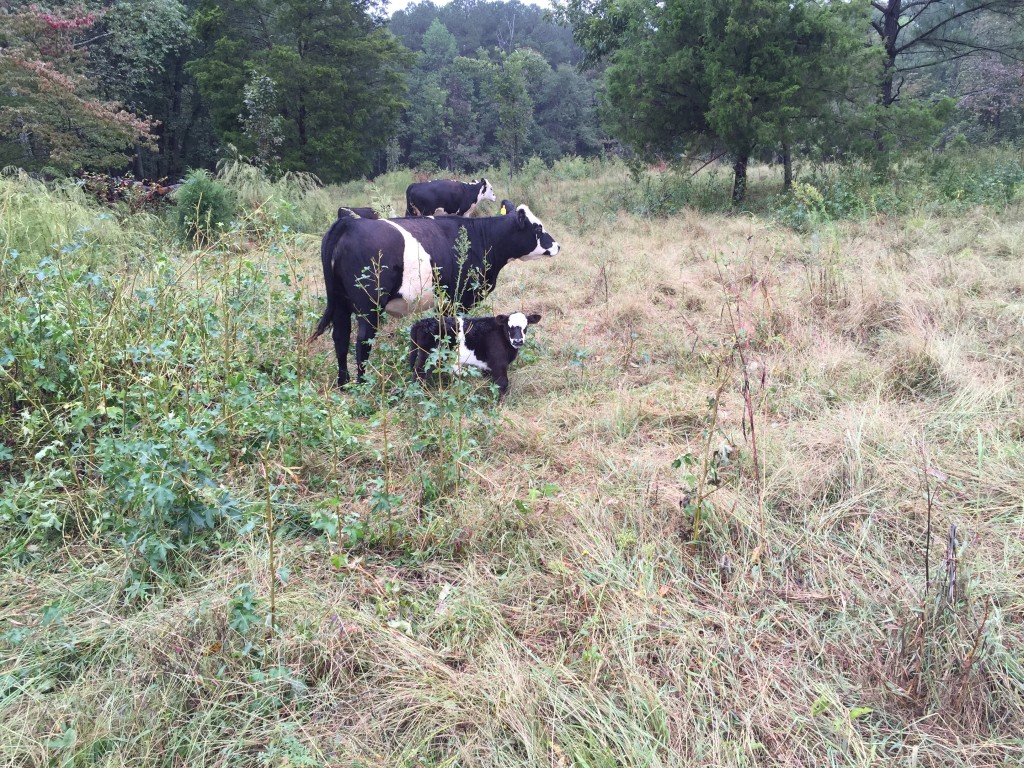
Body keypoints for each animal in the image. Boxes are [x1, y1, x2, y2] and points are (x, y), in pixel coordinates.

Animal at [311, 202, 561, 387]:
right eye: (538, 228)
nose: (557, 246)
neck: (480, 237)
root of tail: (348, 224)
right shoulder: (459, 298)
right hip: (369, 305)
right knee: (362, 341)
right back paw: (362, 383)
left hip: (340, 302)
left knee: (341, 338)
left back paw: (344, 383)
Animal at [409, 313, 544, 403]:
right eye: (509, 326)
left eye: (525, 327)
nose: (518, 341)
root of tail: (422, 322)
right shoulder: (498, 363)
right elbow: (503, 383)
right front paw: (500, 404)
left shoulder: (488, 366)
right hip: (428, 357)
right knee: (419, 375)